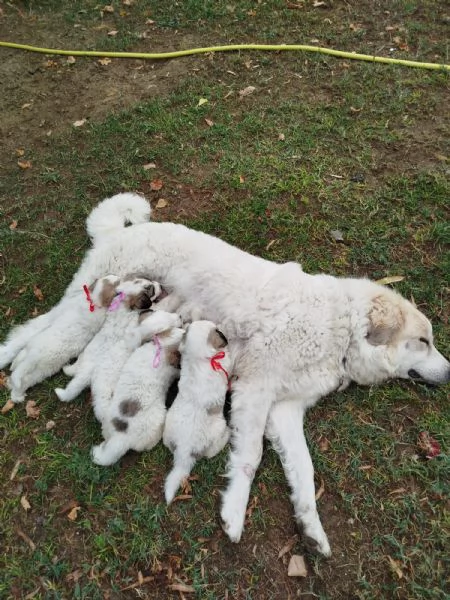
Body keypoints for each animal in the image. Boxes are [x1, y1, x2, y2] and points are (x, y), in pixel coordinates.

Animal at [7, 276, 121, 404]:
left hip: (41, 367)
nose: (118, 277)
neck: (94, 301)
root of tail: (36, 356)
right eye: (116, 282)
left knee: (23, 373)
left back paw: (16, 392)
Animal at [54, 278, 162, 422]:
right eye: (151, 289)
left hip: (83, 357)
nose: (160, 285)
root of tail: (87, 372)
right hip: (103, 390)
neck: (123, 302)